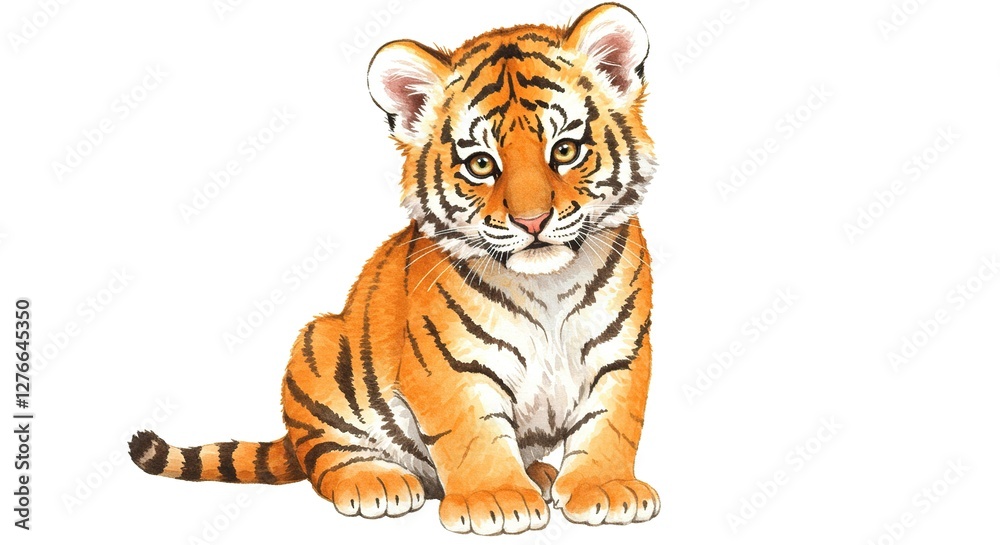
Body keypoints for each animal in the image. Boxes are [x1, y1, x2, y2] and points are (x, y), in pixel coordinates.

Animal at [129, 3, 658, 535]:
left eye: (565, 151)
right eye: (481, 164)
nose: (532, 221)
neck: (547, 284)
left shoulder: (622, 351)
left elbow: (612, 424)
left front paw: (606, 489)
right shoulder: (450, 365)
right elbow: (472, 434)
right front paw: (496, 497)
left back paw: (541, 474)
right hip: (317, 348)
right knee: (328, 459)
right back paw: (377, 483)